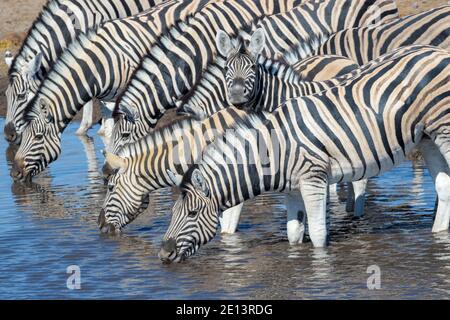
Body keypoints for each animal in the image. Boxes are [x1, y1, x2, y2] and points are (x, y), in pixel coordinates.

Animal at [158, 45, 450, 262]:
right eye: (172, 212)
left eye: (192, 214)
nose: (163, 253)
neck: (275, 149)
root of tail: (437, 50)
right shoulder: (293, 190)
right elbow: (294, 234)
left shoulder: (313, 180)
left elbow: (318, 235)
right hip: (428, 138)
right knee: (444, 187)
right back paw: (437, 233)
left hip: (443, 130)